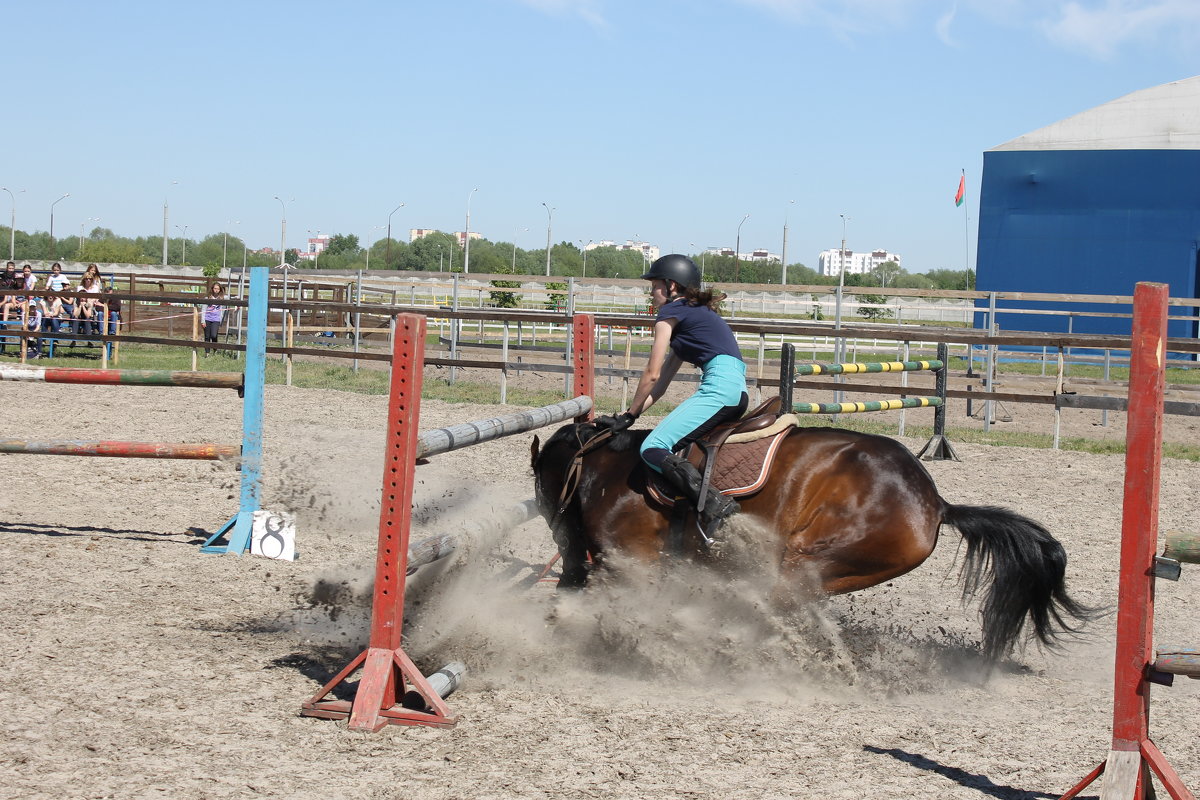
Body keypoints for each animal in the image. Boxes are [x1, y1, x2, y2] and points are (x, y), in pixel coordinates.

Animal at [530, 422, 1094, 662]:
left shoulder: (633, 563)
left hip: (805, 560)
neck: (605, 464)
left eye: (539, 488)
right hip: (825, 572)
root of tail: (935, 502)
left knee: (773, 613)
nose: (566, 557)